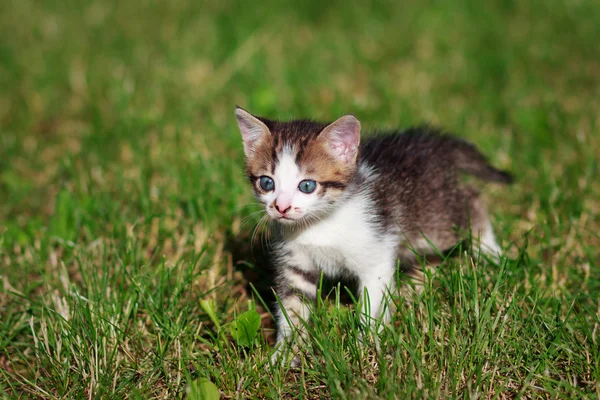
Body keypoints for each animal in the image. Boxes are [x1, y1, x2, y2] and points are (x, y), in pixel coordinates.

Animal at [233, 105, 510, 362]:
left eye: (307, 186)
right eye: (267, 183)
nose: (281, 207)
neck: (318, 226)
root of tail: (432, 144)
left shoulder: (376, 252)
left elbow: (372, 304)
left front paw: (365, 345)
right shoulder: (295, 267)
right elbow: (292, 310)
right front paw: (284, 354)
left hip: (436, 221)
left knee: (474, 200)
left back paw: (491, 252)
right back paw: (414, 287)